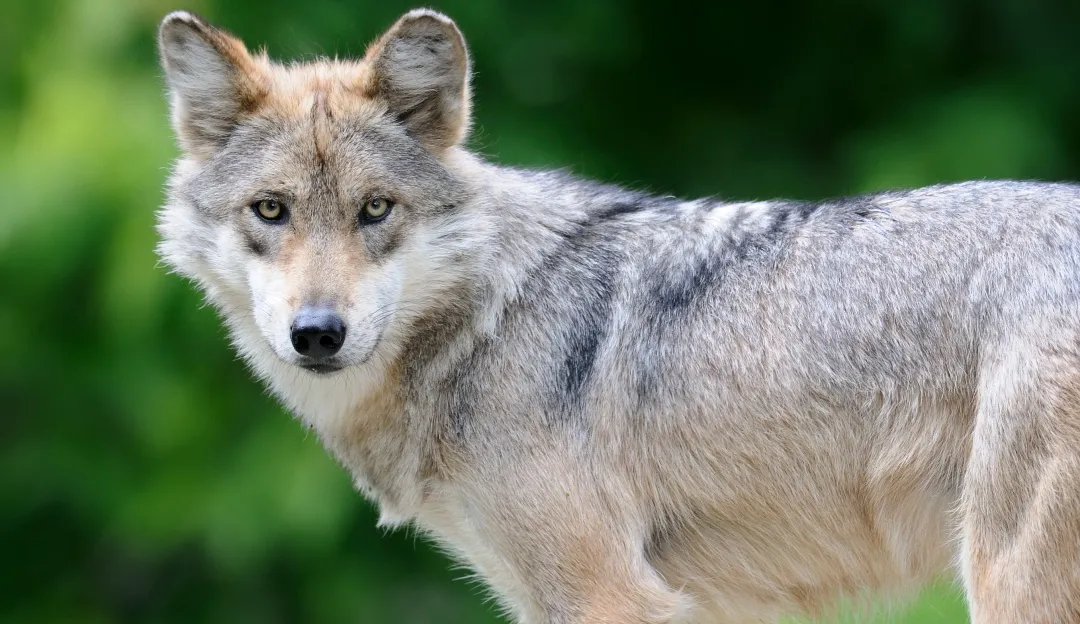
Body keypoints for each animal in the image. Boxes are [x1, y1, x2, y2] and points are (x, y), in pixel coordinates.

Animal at [155, 8, 1080, 623]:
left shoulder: (610, 596)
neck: (486, 323)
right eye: (271, 211)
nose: (317, 333)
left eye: (375, 209)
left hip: (1007, 583)